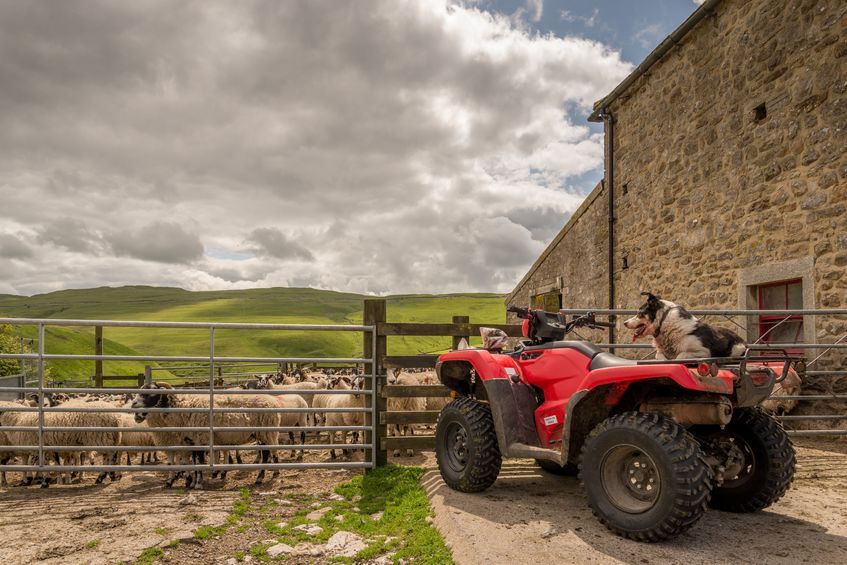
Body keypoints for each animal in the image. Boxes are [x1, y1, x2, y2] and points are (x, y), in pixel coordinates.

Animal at [131, 384, 280, 490]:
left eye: (151, 393)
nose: (133, 404)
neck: (183, 409)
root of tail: (273, 403)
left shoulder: (201, 439)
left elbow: (199, 461)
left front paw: (197, 483)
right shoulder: (192, 441)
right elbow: (194, 462)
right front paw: (191, 482)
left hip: (266, 432)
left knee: (266, 454)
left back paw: (260, 478)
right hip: (263, 434)